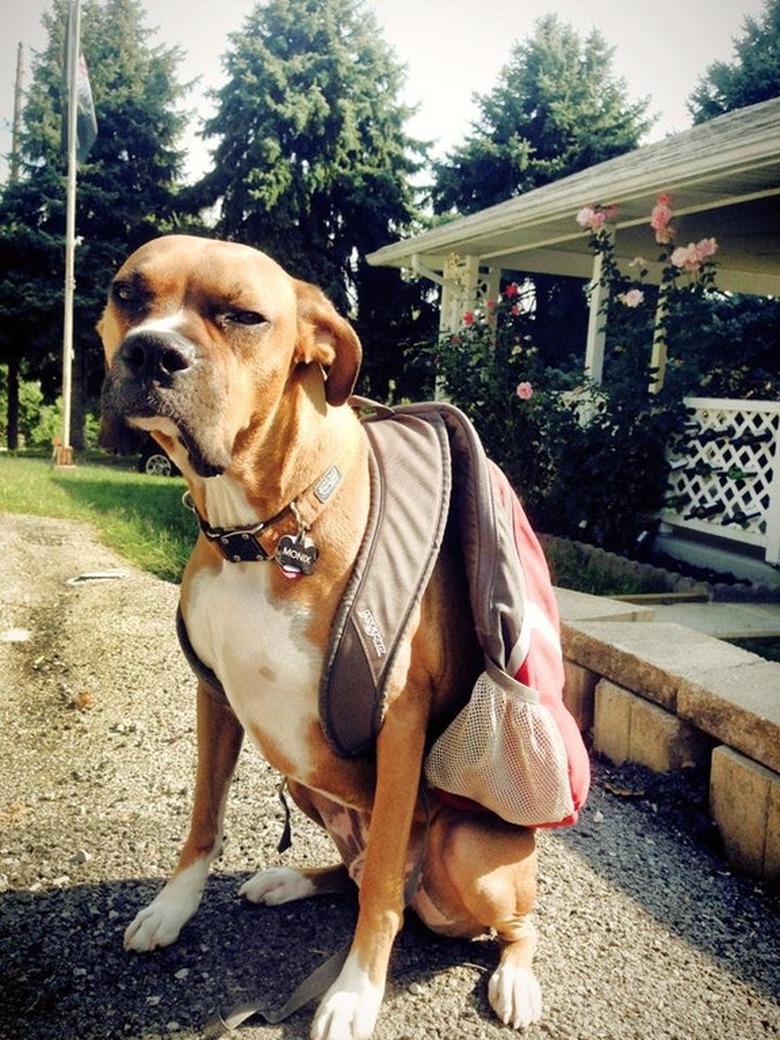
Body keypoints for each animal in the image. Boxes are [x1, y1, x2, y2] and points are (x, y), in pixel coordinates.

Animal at [97, 236, 544, 1040]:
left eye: (244, 316)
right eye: (127, 294)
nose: (152, 353)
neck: (267, 525)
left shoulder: (400, 726)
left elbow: (383, 895)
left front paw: (356, 992)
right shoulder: (218, 699)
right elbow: (204, 818)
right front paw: (172, 910)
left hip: (469, 851)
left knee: (491, 916)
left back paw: (516, 978)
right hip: (302, 775)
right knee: (358, 873)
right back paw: (291, 881)